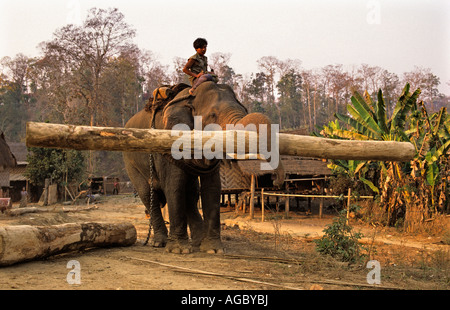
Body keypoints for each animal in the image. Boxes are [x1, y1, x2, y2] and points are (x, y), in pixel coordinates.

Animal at [123, 81, 284, 254]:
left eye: (245, 110)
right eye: (213, 115)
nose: (275, 179)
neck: (188, 98)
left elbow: (212, 188)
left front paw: (214, 250)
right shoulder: (167, 145)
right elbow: (174, 186)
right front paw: (179, 251)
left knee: (191, 193)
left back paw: (197, 242)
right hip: (130, 161)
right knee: (148, 194)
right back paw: (160, 243)